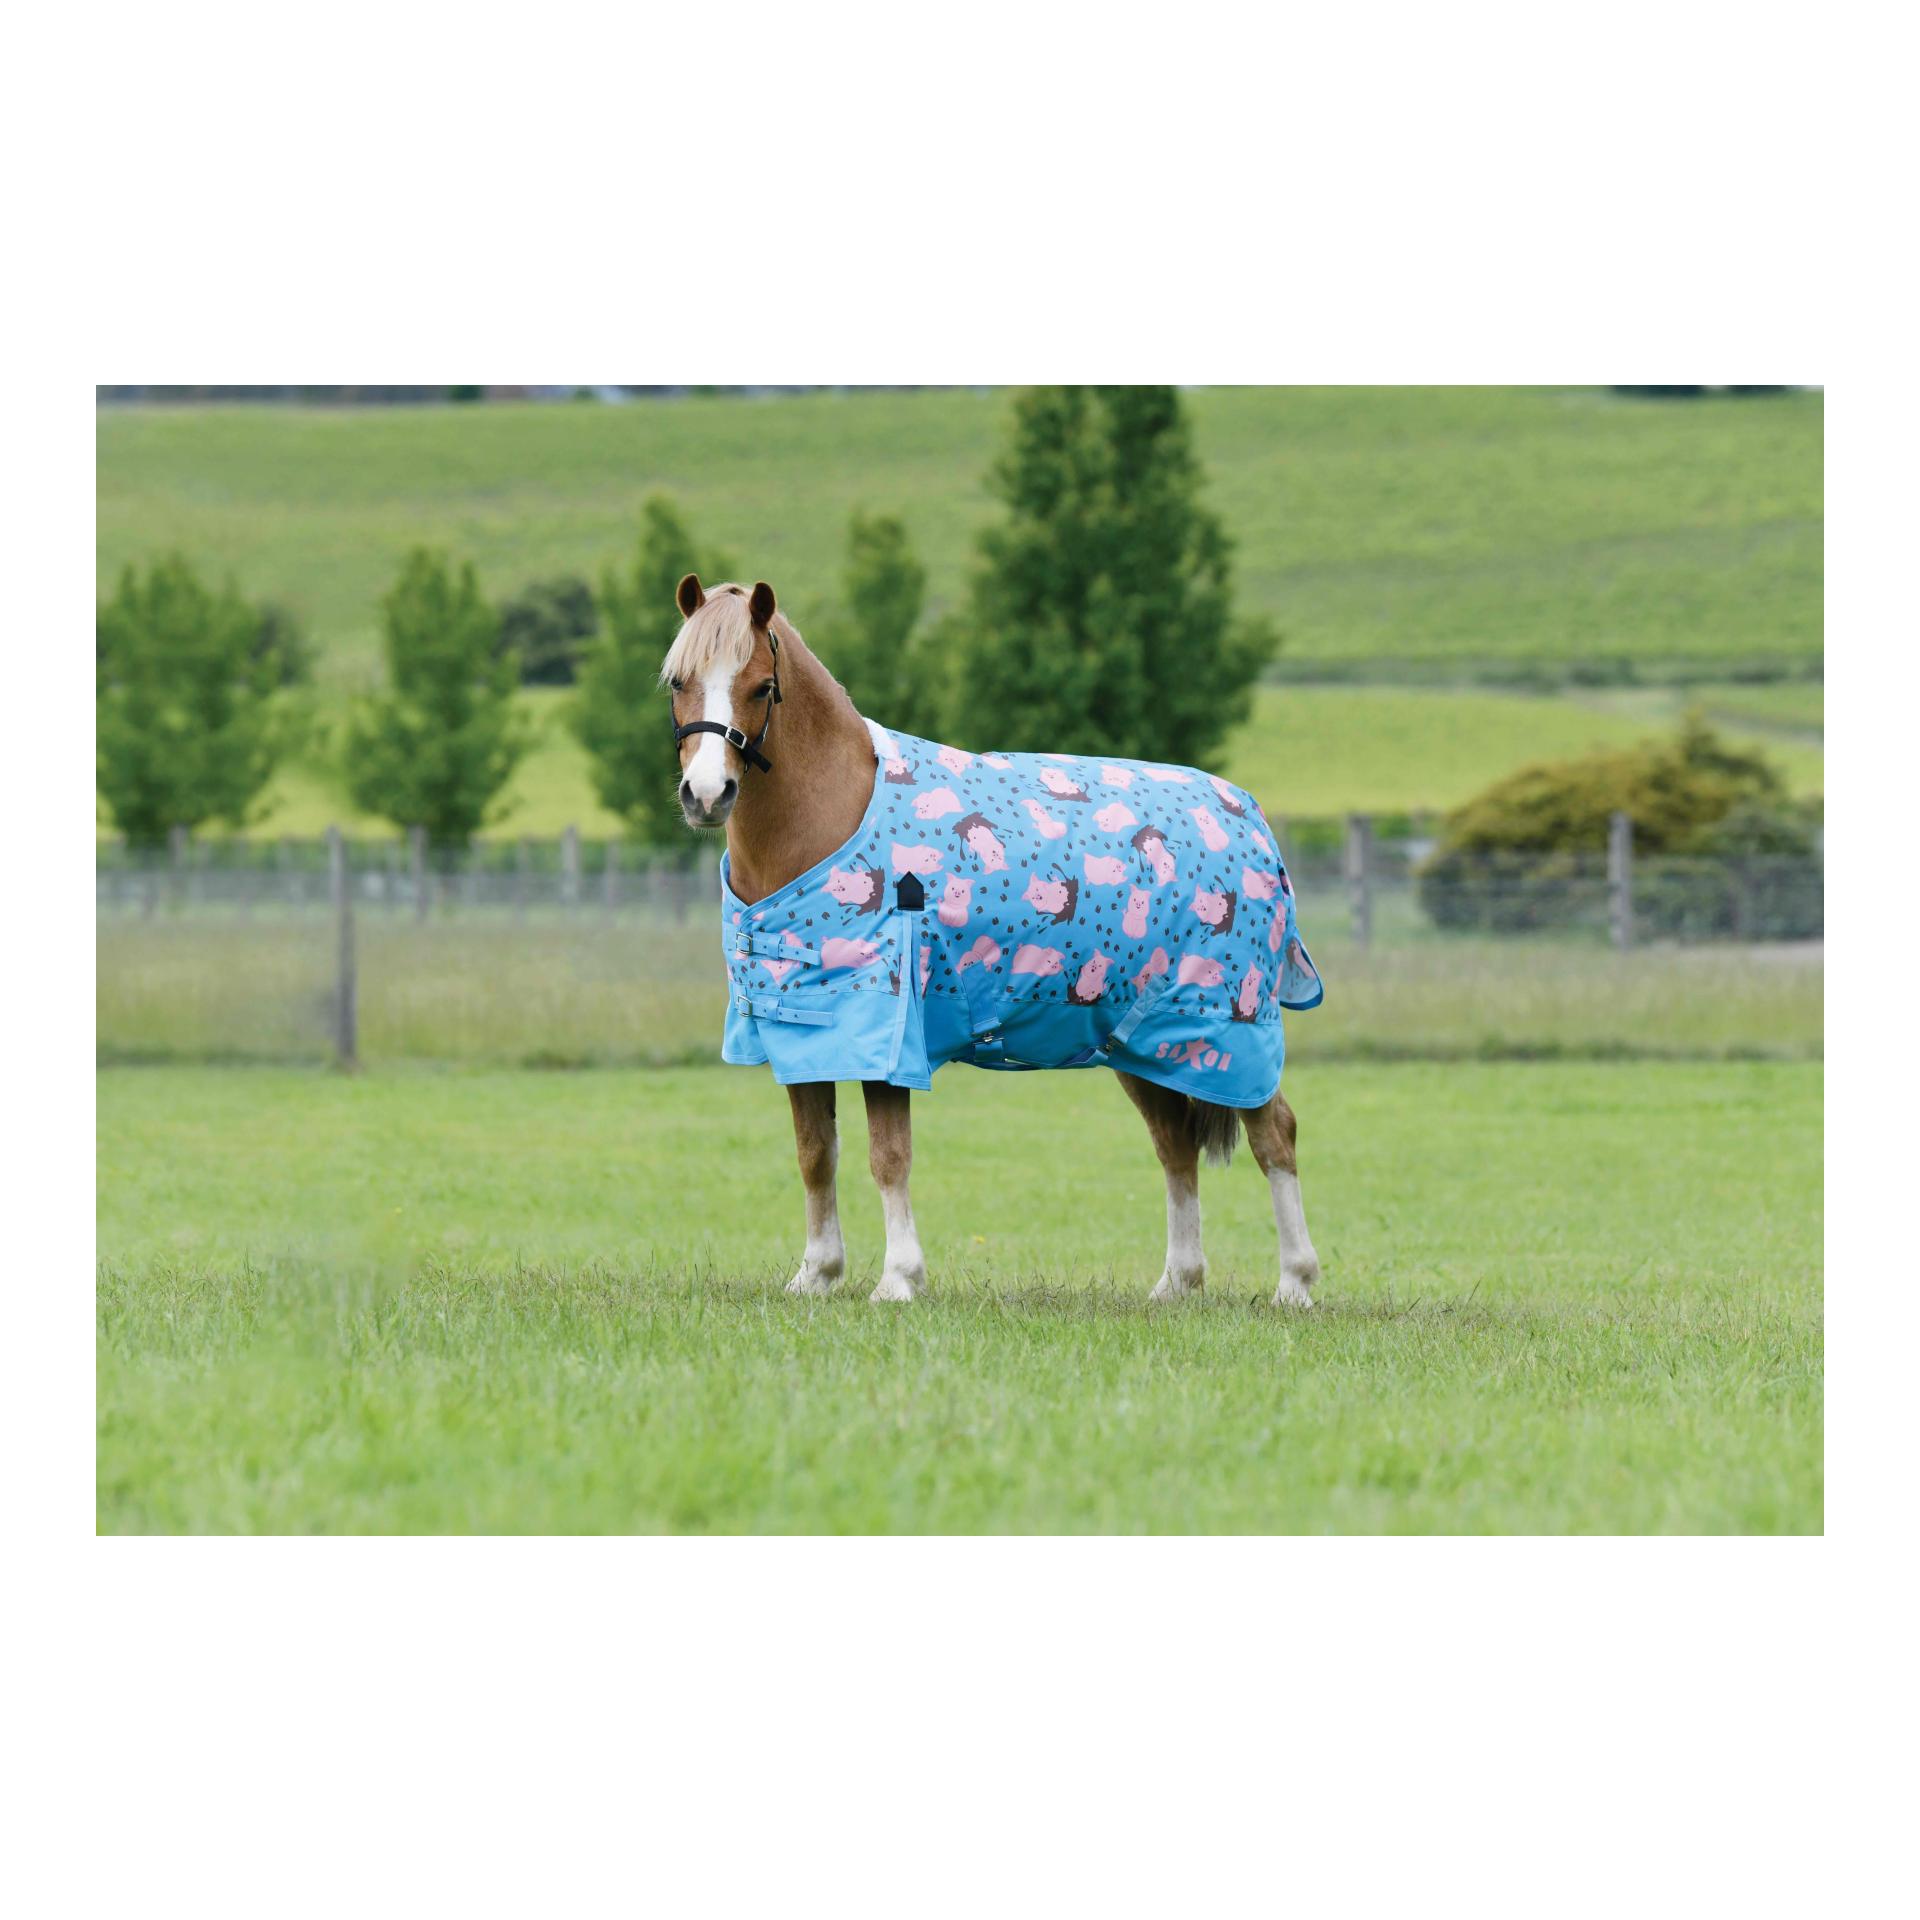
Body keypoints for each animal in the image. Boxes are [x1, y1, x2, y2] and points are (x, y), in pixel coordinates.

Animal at [663, 573, 1324, 1309]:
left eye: (759, 687)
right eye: (678, 681)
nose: (706, 795)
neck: (829, 819)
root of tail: (1248, 816)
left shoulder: (890, 1036)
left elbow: (888, 1156)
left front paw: (898, 1279)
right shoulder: (803, 1032)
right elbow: (815, 1154)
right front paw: (816, 1273)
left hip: (1228, 1029)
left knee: (1275, 1134)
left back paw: (1294, 1283)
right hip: (1140, 1041)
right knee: (1174, 1145)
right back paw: (1176, 1284)